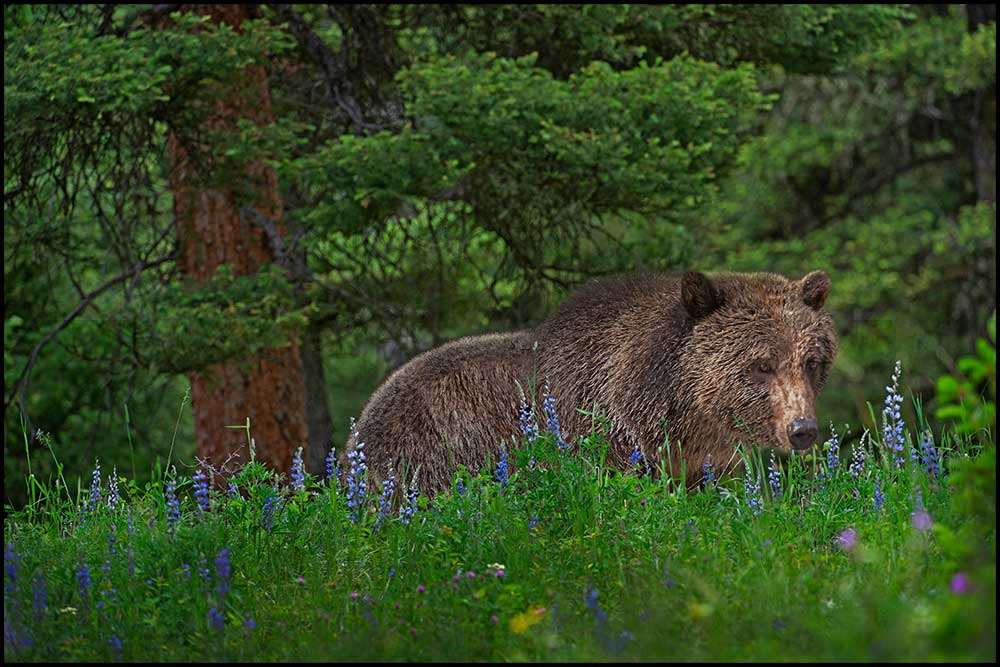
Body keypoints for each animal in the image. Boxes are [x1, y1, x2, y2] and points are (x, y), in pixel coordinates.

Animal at [348, 272, 840, 496]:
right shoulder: (603, 433)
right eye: (761, 365)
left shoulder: (697, 461)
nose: (802, 429)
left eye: (811, 361)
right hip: (424, 454)